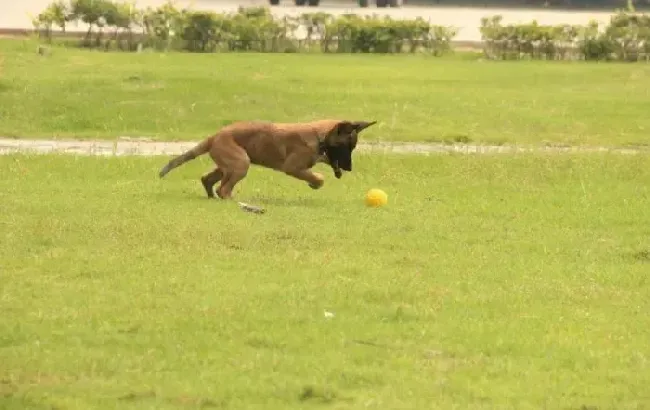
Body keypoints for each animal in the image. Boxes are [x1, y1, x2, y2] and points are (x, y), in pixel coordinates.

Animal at [156, 117, 374, 199]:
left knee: (208, 180)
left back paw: (212, 196)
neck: (319, 136)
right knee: (223, 188)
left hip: (229, 164)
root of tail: (214, 137)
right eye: (346, 147)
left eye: (353, 148)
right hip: (241, 163)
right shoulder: (292, 167)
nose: (349, 168)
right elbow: (318, 177)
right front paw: (315, 182)